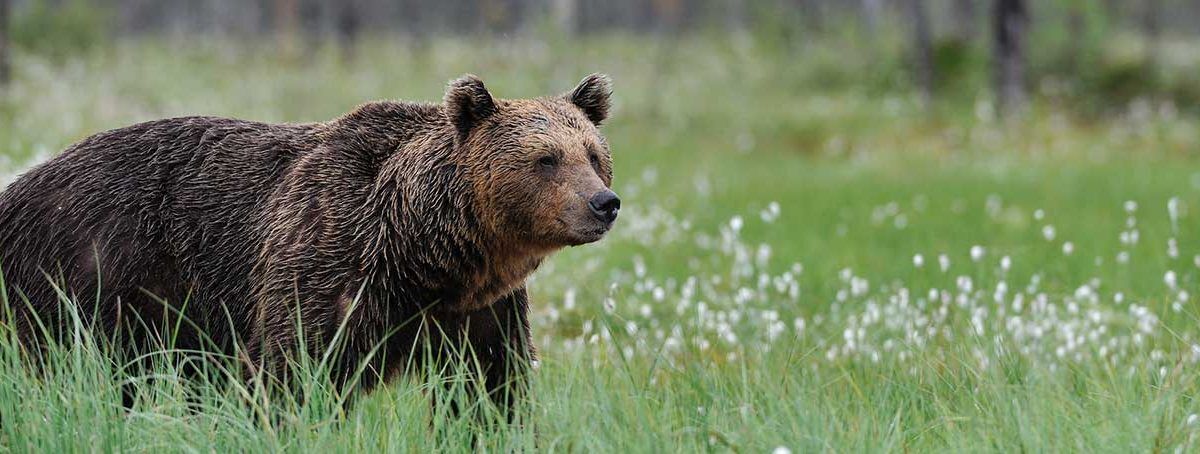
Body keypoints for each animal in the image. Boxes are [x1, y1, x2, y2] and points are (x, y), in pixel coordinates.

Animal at [0, 73, 619, 413]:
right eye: (546, 159)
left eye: (592, 154)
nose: (603, 204)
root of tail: (20, 186)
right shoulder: (326, 260)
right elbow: (291, 371)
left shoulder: (479, 308)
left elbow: (489, 387)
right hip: (87, 276)